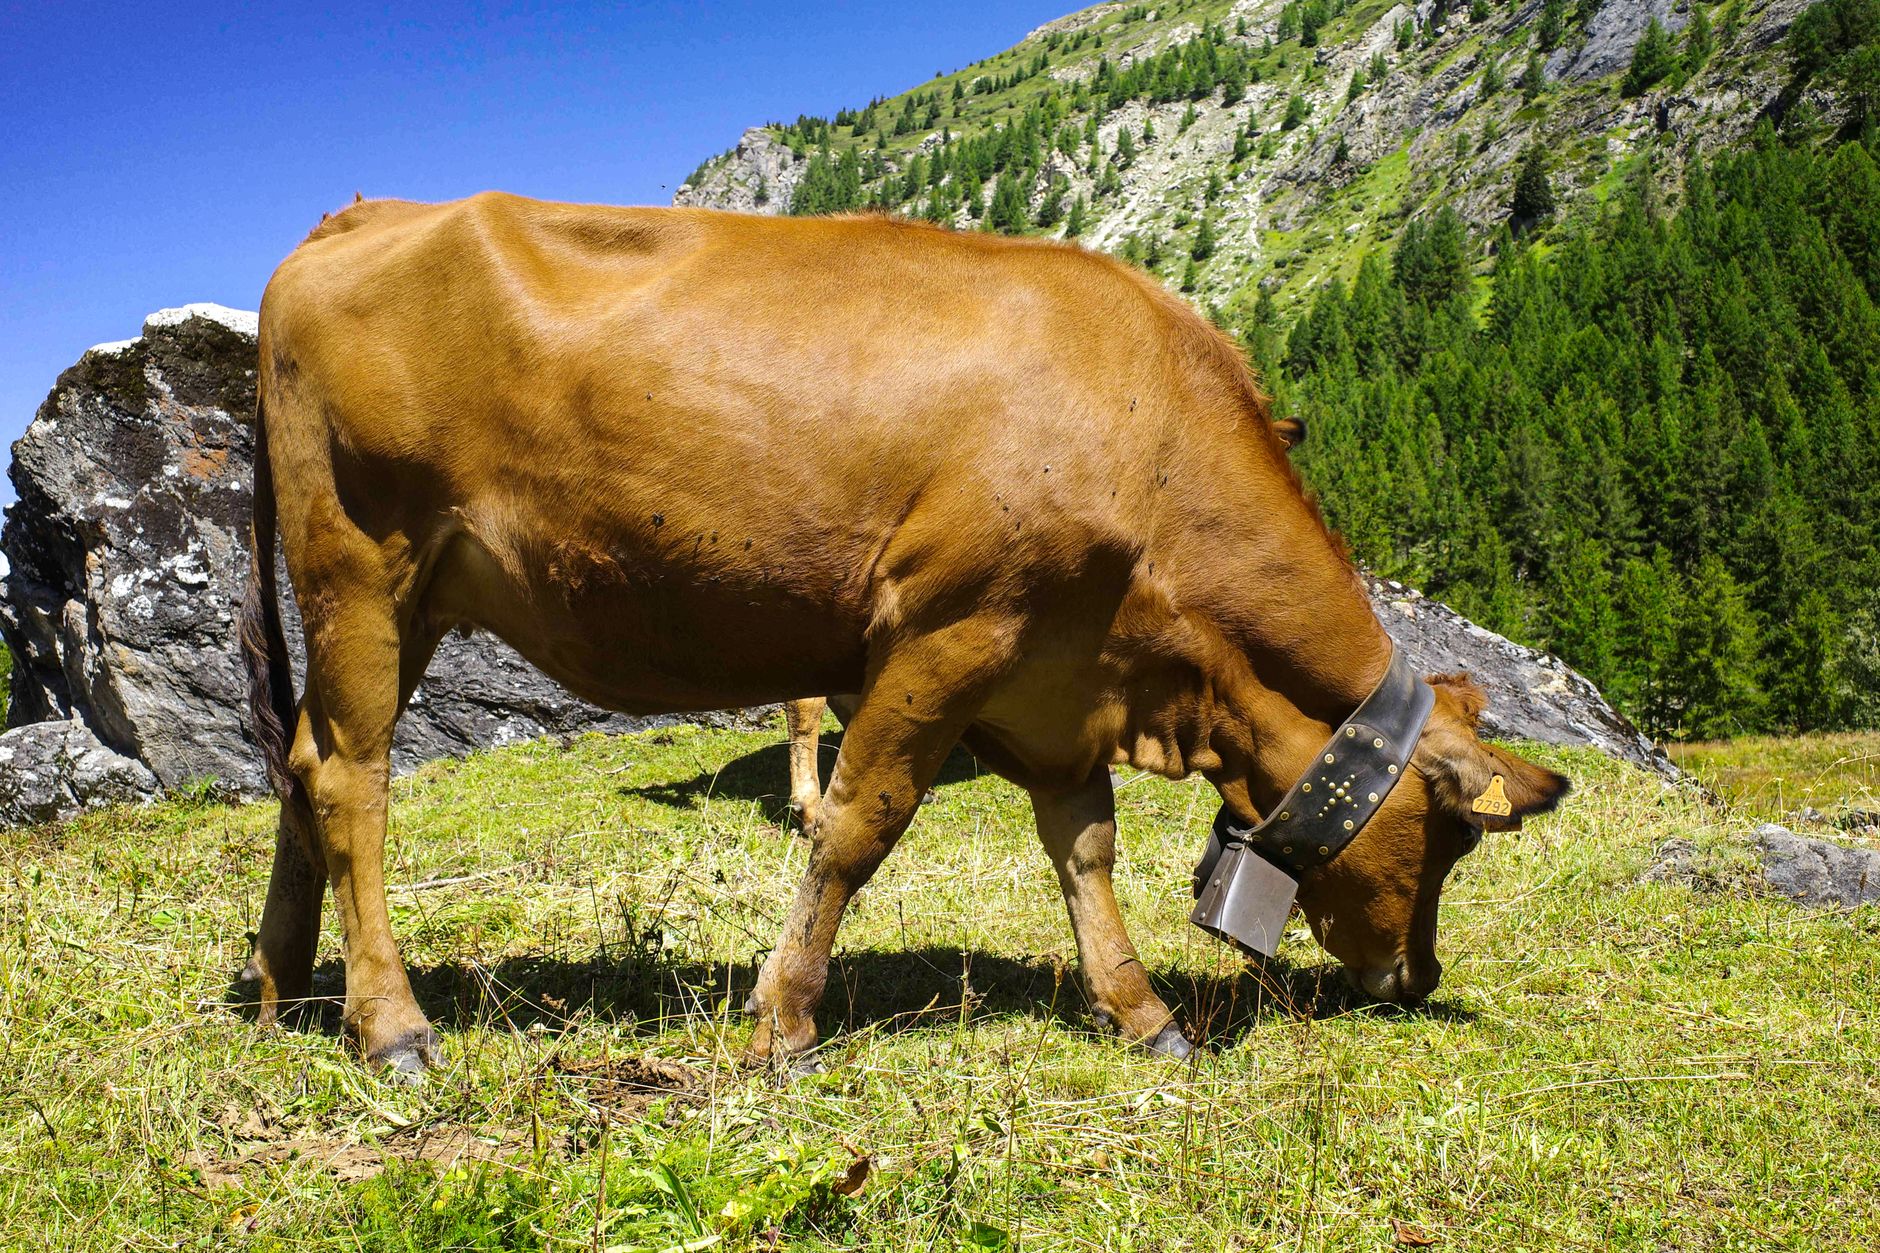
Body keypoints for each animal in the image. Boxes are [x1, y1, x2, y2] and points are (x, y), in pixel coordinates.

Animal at [240, 194, 1568, 1079]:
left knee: (301, 758)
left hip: (407, 595)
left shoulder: (1057, 673)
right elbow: (857, 826)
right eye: (1450, 836)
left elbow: (1084, 847)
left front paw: (1140, 1010)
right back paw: (391, 1023)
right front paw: (784, 1020)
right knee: (351, 775)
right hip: (362, 557)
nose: (1417, 977)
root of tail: (359, 214)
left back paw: (277, 981)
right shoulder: (951, 629)